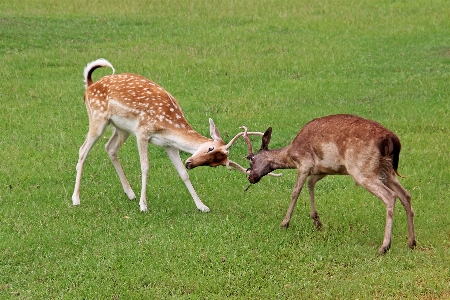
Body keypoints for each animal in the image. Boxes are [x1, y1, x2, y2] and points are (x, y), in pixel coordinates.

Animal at [71, 58, 262, 212]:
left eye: (215, 164)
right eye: (210, 148)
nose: (190, 163)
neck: (169, 126)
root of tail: (89, 85)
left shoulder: (168, 144)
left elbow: (182, 174)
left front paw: (202, 206)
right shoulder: (142, 131)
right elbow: (145, 167)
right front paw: (143, 206)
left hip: (122, 128)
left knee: (110, 148)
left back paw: (130, 194)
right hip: (98, 118)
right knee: (82, 150)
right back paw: (76, 199)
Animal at [244, 113, 416, 254]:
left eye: (251, 159)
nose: (250, 177)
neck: (290, 155)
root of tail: (392, 140)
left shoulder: (304, 163)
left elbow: (295, 192)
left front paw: (284, 223)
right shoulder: (322, 170)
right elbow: (310, 184)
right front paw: (317, 221)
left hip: (362, 170)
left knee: (390, 196)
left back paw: (384, 247)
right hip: (386, 171)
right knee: (405, 195)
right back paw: (411, 242)